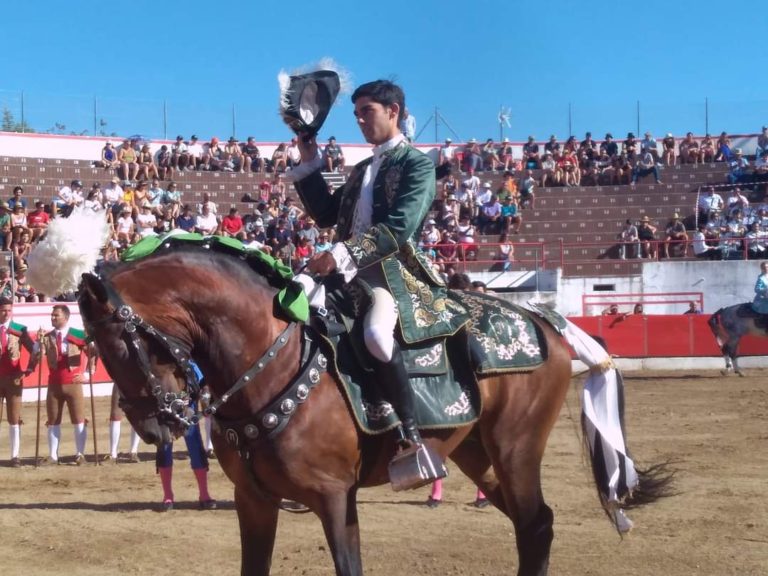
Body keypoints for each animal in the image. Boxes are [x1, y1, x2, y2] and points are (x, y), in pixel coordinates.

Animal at [76, 246, 664, 576]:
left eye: (122, 344)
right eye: (95, 349)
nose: (157, 424)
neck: (270, 362)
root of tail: (543, 319)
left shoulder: (335, 497)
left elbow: (348, 566)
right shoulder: (254, 502)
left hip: (516, 447)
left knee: (537, 524)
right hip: (479, 455)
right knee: (530, 524)